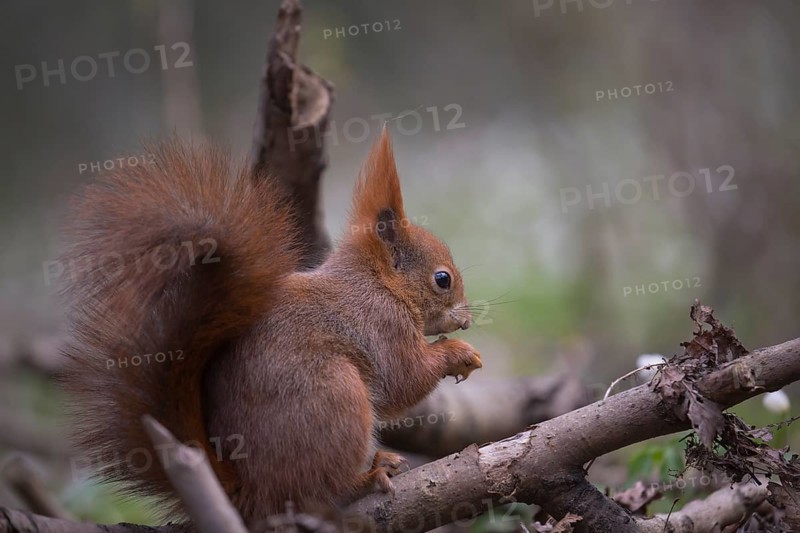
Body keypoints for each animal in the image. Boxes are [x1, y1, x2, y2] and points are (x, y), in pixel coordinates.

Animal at [59, 128, 482, 526]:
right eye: (442, 279)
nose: (467, 319)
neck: (376, 280)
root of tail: (250, 491)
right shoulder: (382, 323)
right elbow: (404, 379)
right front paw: (459, 354)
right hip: (334, 397)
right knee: (320, 491)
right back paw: (368, 476)